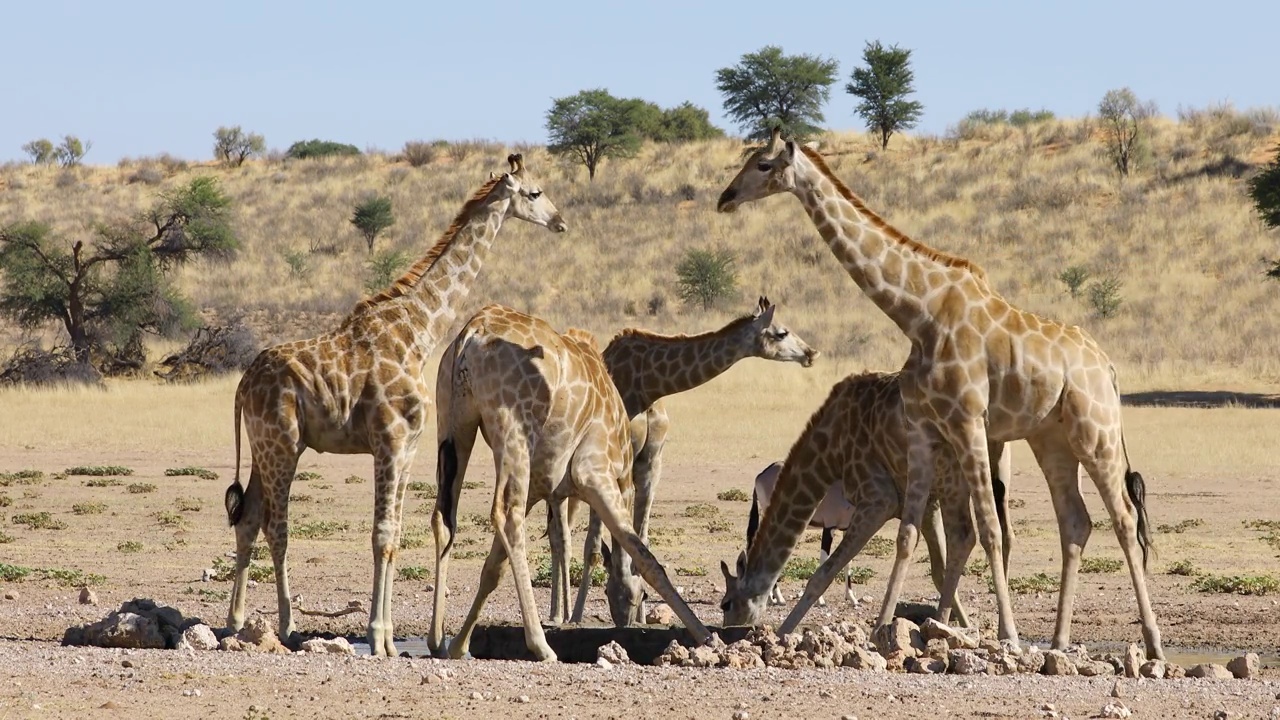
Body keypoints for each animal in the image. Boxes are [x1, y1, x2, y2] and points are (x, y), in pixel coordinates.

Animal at [222, 152, 568, 655]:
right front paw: (376, 635)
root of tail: (242, 384)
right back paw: (286, 626)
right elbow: (381, 534)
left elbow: (395, 535)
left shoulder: (408, 447)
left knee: (247, 517)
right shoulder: (388, 439)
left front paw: (385, 639)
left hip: (263, 446)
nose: (561, 221)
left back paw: (235, 622)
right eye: (535, 192)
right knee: (276, 526)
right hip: (282, 444)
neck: (422, 330)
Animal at [427, 301, 711, 655]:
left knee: (445, 516)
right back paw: (541, 645)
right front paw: (705, 634)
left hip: (453, 420)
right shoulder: (592, 472)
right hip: (512, 429)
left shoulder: (541, 484)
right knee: (505, 515)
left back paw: (437, 639)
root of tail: (472, 332)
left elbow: (494, 566)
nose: (624, 620)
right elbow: (643, 554)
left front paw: (460, 644)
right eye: (635, 596)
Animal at [560, 295, 819, 622]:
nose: (811, 353)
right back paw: (560, 612)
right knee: (563, 535)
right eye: (781, 333)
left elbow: (640, 538)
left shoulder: (652, 461)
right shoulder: (615, 457)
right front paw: (577, 616)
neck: (649, 384)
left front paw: (640, 613)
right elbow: (594, 546)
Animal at [721, 366, 1008, 630]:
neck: (831, 448)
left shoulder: (880, 501)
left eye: (727, 603)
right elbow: (939, 568)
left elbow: (824, 573)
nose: (729, 628)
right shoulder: (923, 504)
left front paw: (784, 632)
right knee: (981, 535)